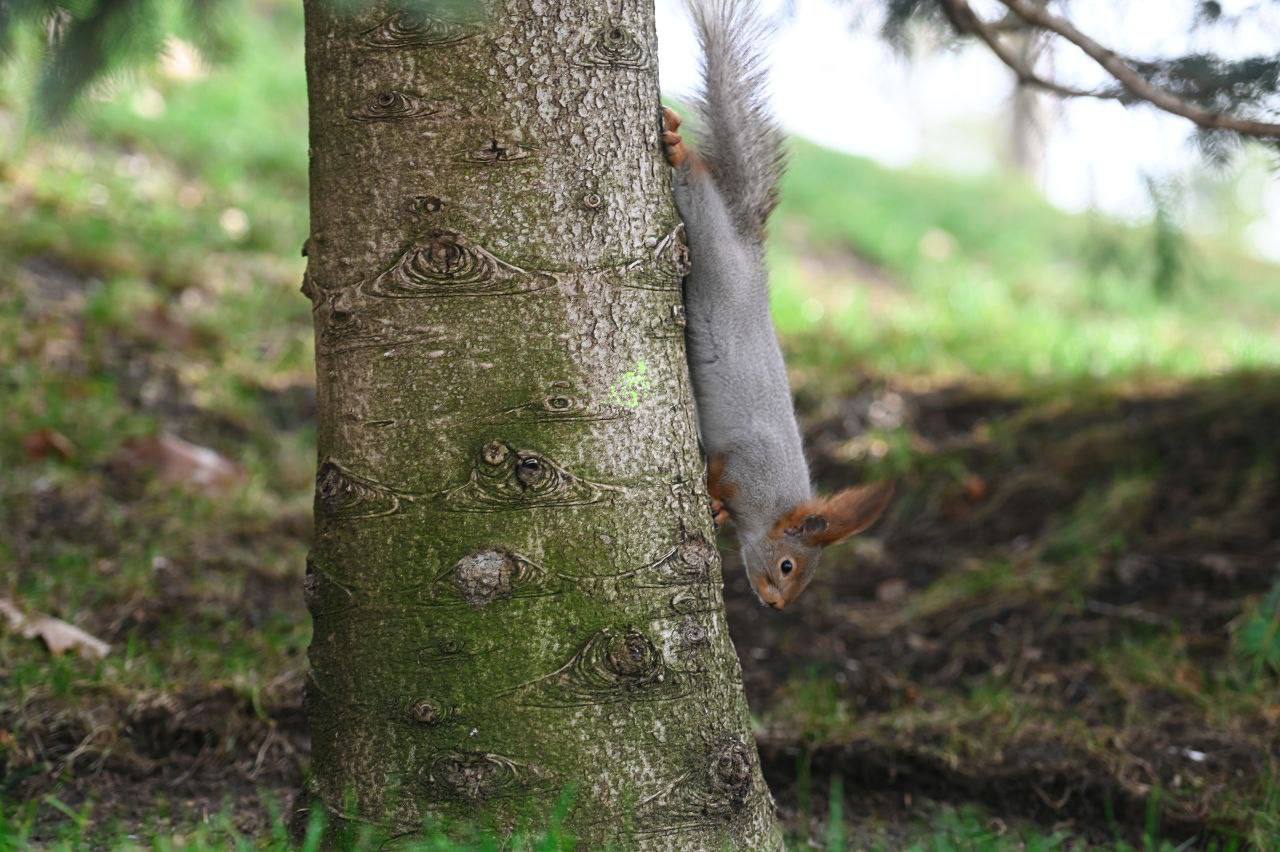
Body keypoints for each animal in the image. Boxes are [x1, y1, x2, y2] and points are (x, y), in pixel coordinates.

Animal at [665, 0, 896, 611]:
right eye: (789, 566)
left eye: (804, 578)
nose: (776, 606)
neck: (773, 503)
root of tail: (747, 245)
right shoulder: (747, 463)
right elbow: (720, 472)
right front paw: (713, 499)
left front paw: (719, 514)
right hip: (712, 247)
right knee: (696, 182)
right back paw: (678, 148)